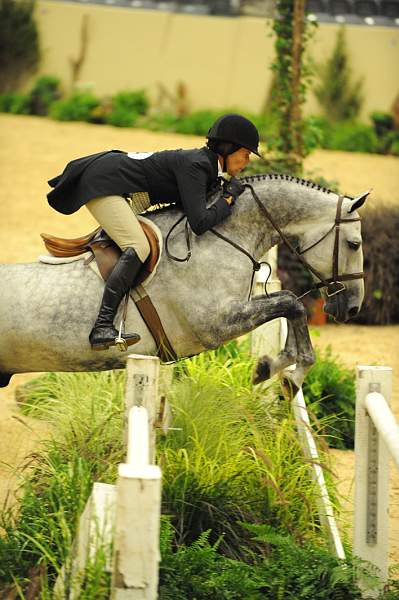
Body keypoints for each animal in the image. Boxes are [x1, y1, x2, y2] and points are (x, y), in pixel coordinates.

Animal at [0, 175, 368, 390]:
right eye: (354, 244)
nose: (352, 308)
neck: (222, 233)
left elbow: (288, 302)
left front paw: (269, 367)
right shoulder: (215, 324)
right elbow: (291, 302)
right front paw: (292, 376)